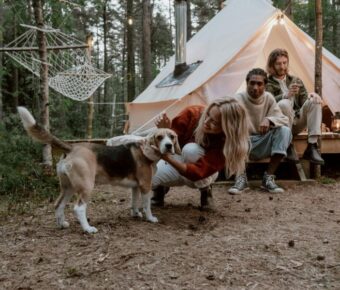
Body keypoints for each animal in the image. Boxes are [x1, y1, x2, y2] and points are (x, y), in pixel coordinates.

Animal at [17, 106, 181, 233]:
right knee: (78, 208)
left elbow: (135, 202)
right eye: (159, 137)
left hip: (68, 187)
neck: (145, 149)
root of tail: (72, 147)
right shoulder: (145, 185)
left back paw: (61, 224)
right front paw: (150, 218)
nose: (168, 146)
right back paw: (88, 229)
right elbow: (146, 205)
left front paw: (135, 214)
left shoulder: (135, 187)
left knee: (59, 204)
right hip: (86, 186)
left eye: (172, 137)